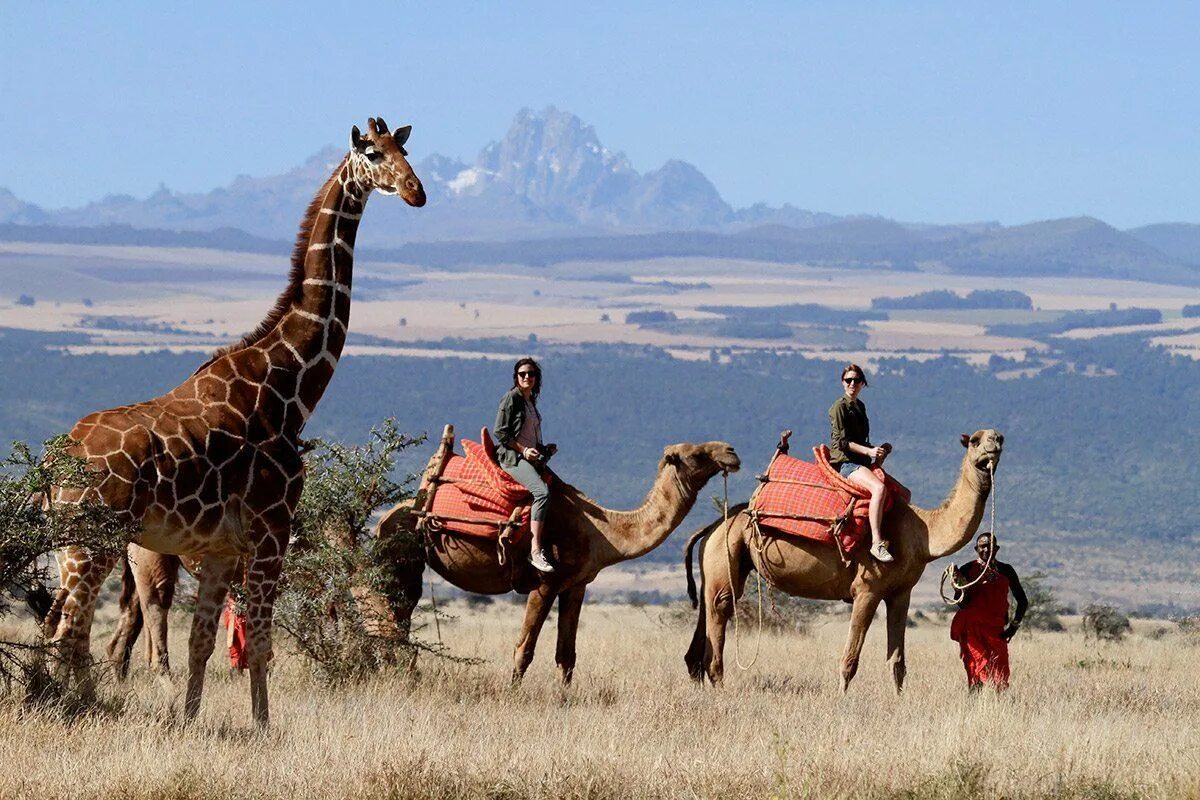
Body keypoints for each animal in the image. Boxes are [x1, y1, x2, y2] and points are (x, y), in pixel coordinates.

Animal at [43, 117, 427, 724]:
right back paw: (70, 709)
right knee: (69, 632)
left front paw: (189, 720)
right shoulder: (272, 529)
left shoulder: (223, 548)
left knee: (67, 628)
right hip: (91, 543)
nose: (416, 191)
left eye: (406, 151)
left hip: (68, 547)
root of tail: (52, 457)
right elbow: (263, 642)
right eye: (371, 153)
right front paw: (264, 727)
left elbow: (203, 641)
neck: (286, 389)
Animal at [372, 424, 739, 681]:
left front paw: (564, 700)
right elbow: (524, 649)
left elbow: (567, 656)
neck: (602, 531)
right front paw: (513, 695)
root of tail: (388, 517)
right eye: (697, 454)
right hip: (402, 555)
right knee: (394, 615)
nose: (732, 451)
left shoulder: (576, 585)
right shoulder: (545, 582)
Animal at [686, 431, 1003, 695]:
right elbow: (850, 658)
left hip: (717, 562)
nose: (995, 443)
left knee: (706, 615)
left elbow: (897, 660)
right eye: (975, 440)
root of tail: (713, 526)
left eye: (998, 437)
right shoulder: (867, 589)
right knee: (722, 605)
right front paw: (842, 700)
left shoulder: (901, 593)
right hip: (726, 553)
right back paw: (720, 687)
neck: (922, 533)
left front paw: (899, 700)